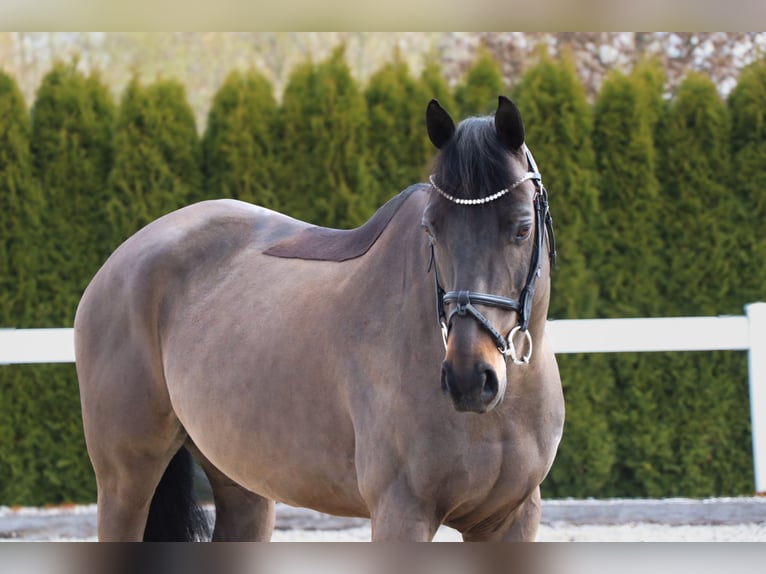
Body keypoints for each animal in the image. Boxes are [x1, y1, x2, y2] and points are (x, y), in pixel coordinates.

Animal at [74, 95, 564, 542]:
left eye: (521, 228)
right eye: (431, 228)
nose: (468, 378)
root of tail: (121, 258)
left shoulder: (511, 519)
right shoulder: (401, 514)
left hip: (244, 487)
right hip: (125, 482)